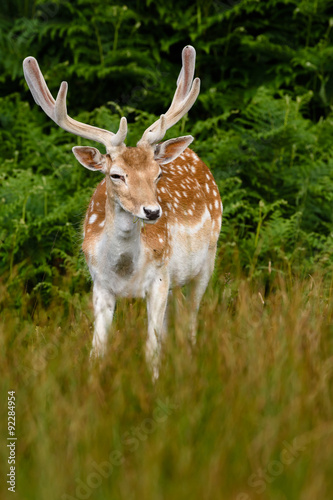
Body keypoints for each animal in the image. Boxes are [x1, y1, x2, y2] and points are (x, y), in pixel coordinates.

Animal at [22, 46, 220, 376]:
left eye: (157, 174)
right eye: (116, 175)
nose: (152, 211)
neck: (125, 270)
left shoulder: (160, 278)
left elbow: (151, 351)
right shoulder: (100, 285)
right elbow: (97, 351)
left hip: (207, 260)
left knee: (191, 320)